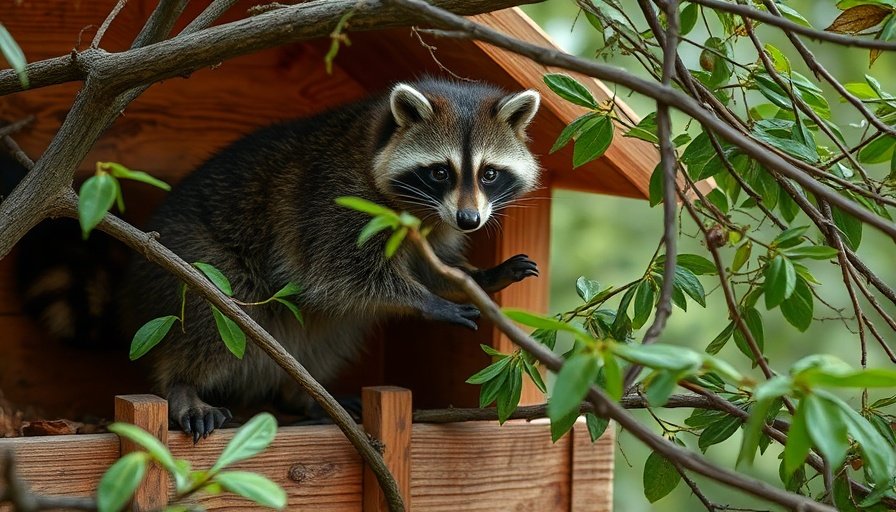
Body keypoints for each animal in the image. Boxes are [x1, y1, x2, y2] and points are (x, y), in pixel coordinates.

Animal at [125, 78, 542, 440]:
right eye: (440, 172)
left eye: (489, 174)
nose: (469, 220)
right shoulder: (338, 204)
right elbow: (341, 275)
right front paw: (429, 302)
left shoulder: (436, 225)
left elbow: (431, 267)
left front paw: (483, 276)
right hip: (189, 257)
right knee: (214, 309)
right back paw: (183, 383)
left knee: (332, 331)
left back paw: (302, 396)